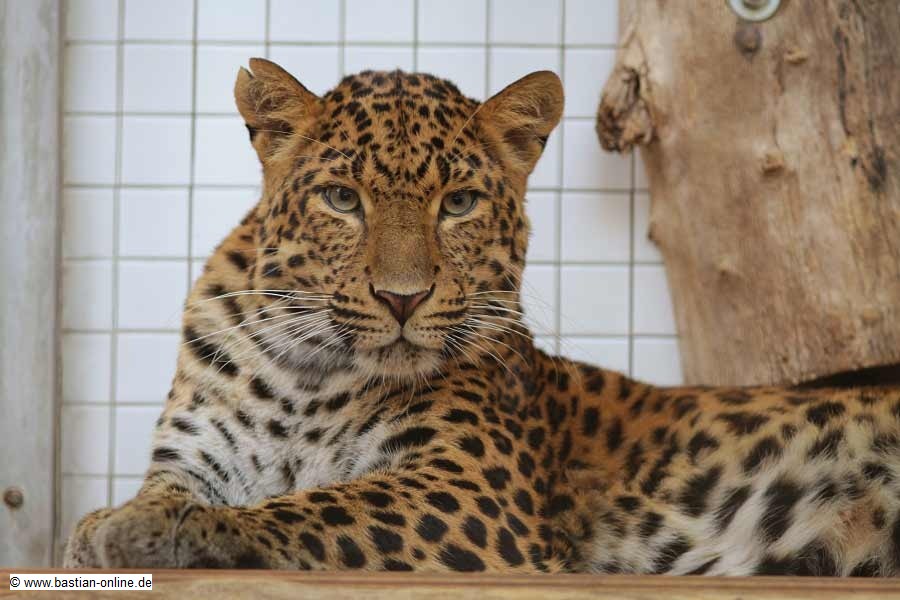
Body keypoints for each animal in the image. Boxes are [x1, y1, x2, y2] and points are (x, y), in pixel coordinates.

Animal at [64, 58, 900, 576]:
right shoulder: (192, 457)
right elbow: (167, 490)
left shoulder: (467, 487)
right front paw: (112, 523)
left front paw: (169, 530)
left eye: (459, 203)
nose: (402, 298)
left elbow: (320, 506)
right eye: (342, 198)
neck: (311, 373)